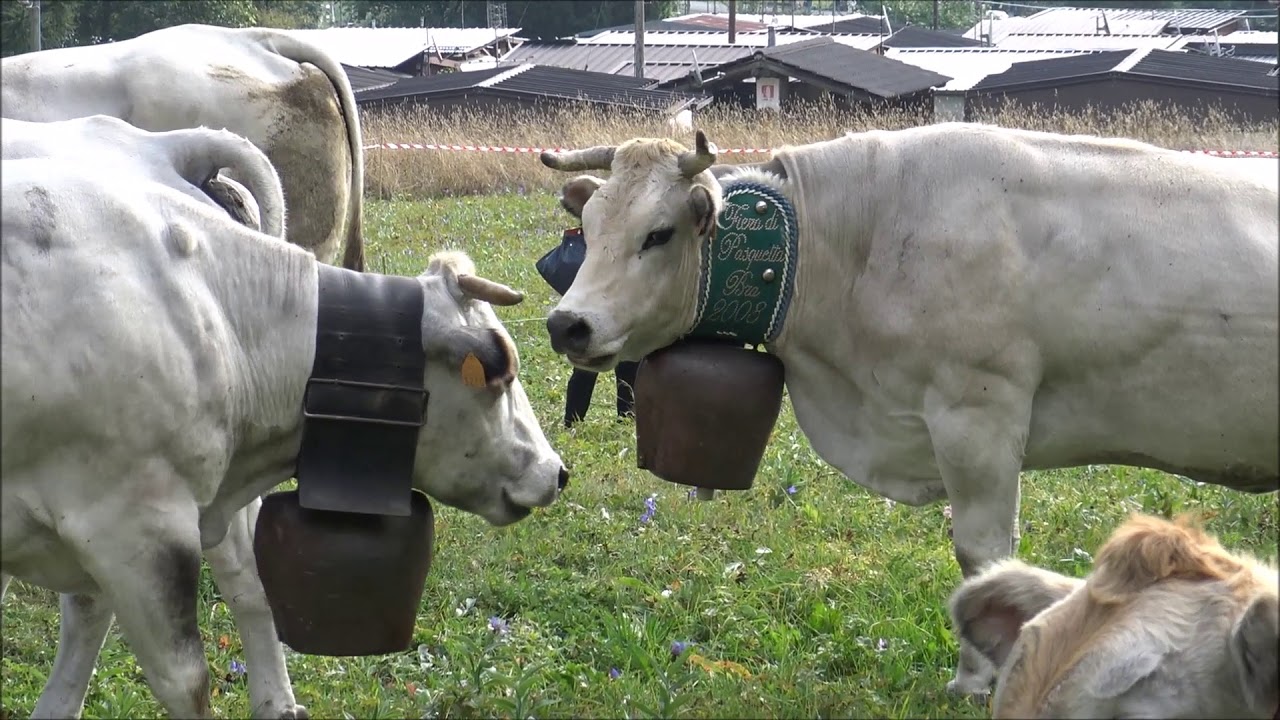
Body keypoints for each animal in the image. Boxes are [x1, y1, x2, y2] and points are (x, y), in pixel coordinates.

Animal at [540, 124, 1280, 696]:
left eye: (658, 234)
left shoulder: (978, 414)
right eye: (591, 227)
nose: (568, 324)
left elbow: (983, 557)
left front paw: (976, 680)